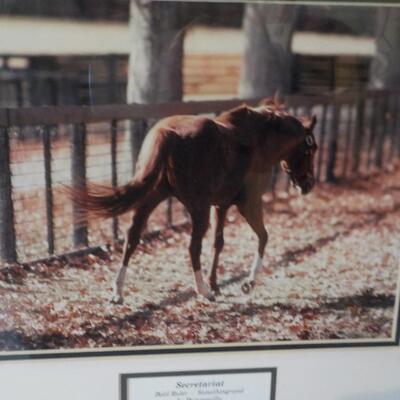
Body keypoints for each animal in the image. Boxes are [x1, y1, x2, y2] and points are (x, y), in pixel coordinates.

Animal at [70, 102, 318, 304]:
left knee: (132, 238)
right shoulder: (249, 204)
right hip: (199, 209)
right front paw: (247, 283)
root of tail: (167, 132)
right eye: (310, 149)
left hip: (152, 198)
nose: (308, 184)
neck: (257, 140)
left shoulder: (221, 205)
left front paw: (216, 284)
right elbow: (263, 237)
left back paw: (118, 292)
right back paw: (203, 291)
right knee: (193, 246)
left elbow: (219, 243)